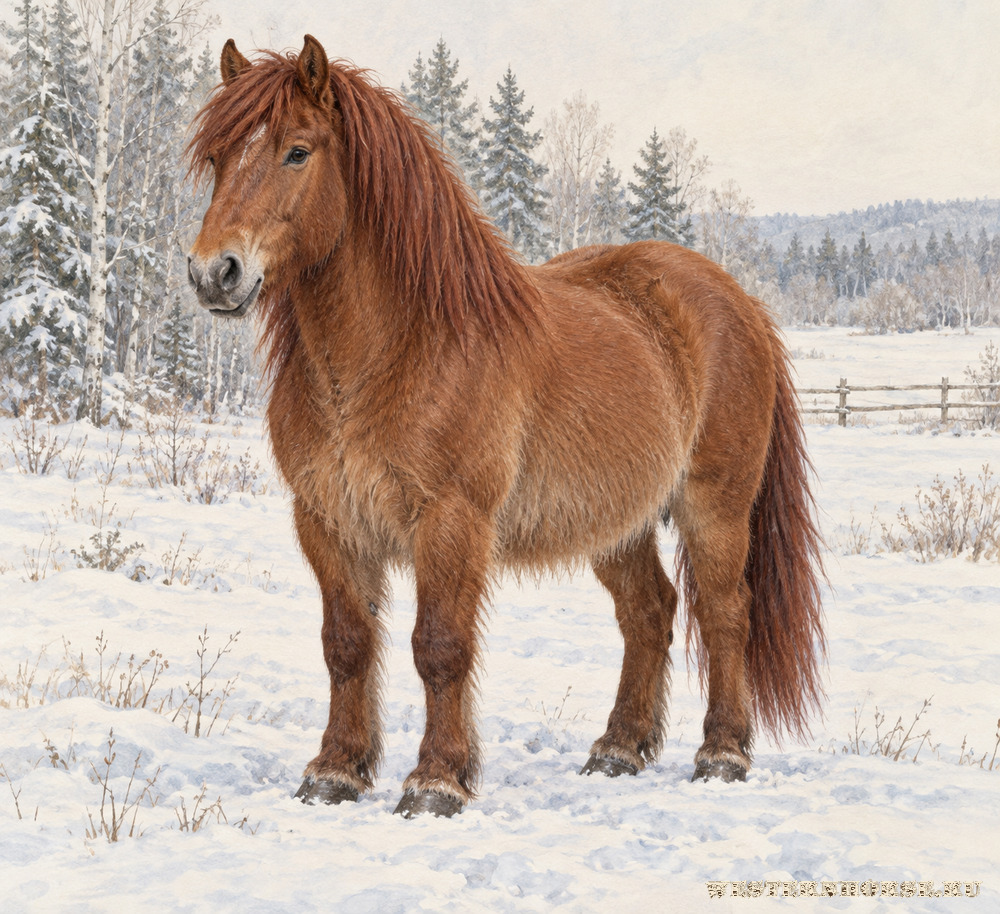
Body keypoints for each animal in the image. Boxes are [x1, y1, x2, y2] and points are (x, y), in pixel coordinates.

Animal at [186, 35, 825, 819]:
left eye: (297, 152)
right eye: (218, 156)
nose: (214, 272)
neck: (400, 350)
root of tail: (739, 301)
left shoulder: (450, 520)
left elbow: (439, 646)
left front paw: (436, 782)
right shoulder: (327, 519)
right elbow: (346, 644)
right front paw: (335, 771)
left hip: (717, 508)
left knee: (724, 612)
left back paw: (723, 754)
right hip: (617, 521)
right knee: (650, 612)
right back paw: (618, 749)